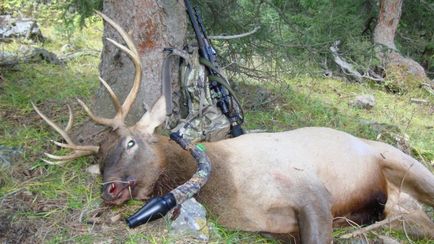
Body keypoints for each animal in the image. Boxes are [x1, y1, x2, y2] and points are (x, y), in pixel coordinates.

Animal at [34, 12, 434, 242]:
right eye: (99, 158)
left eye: (130, 142)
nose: (110, 189)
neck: (232, 192)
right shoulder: (279, 229)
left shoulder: (311, 191)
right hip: (399, 208)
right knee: (417, 224)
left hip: (405, 163)